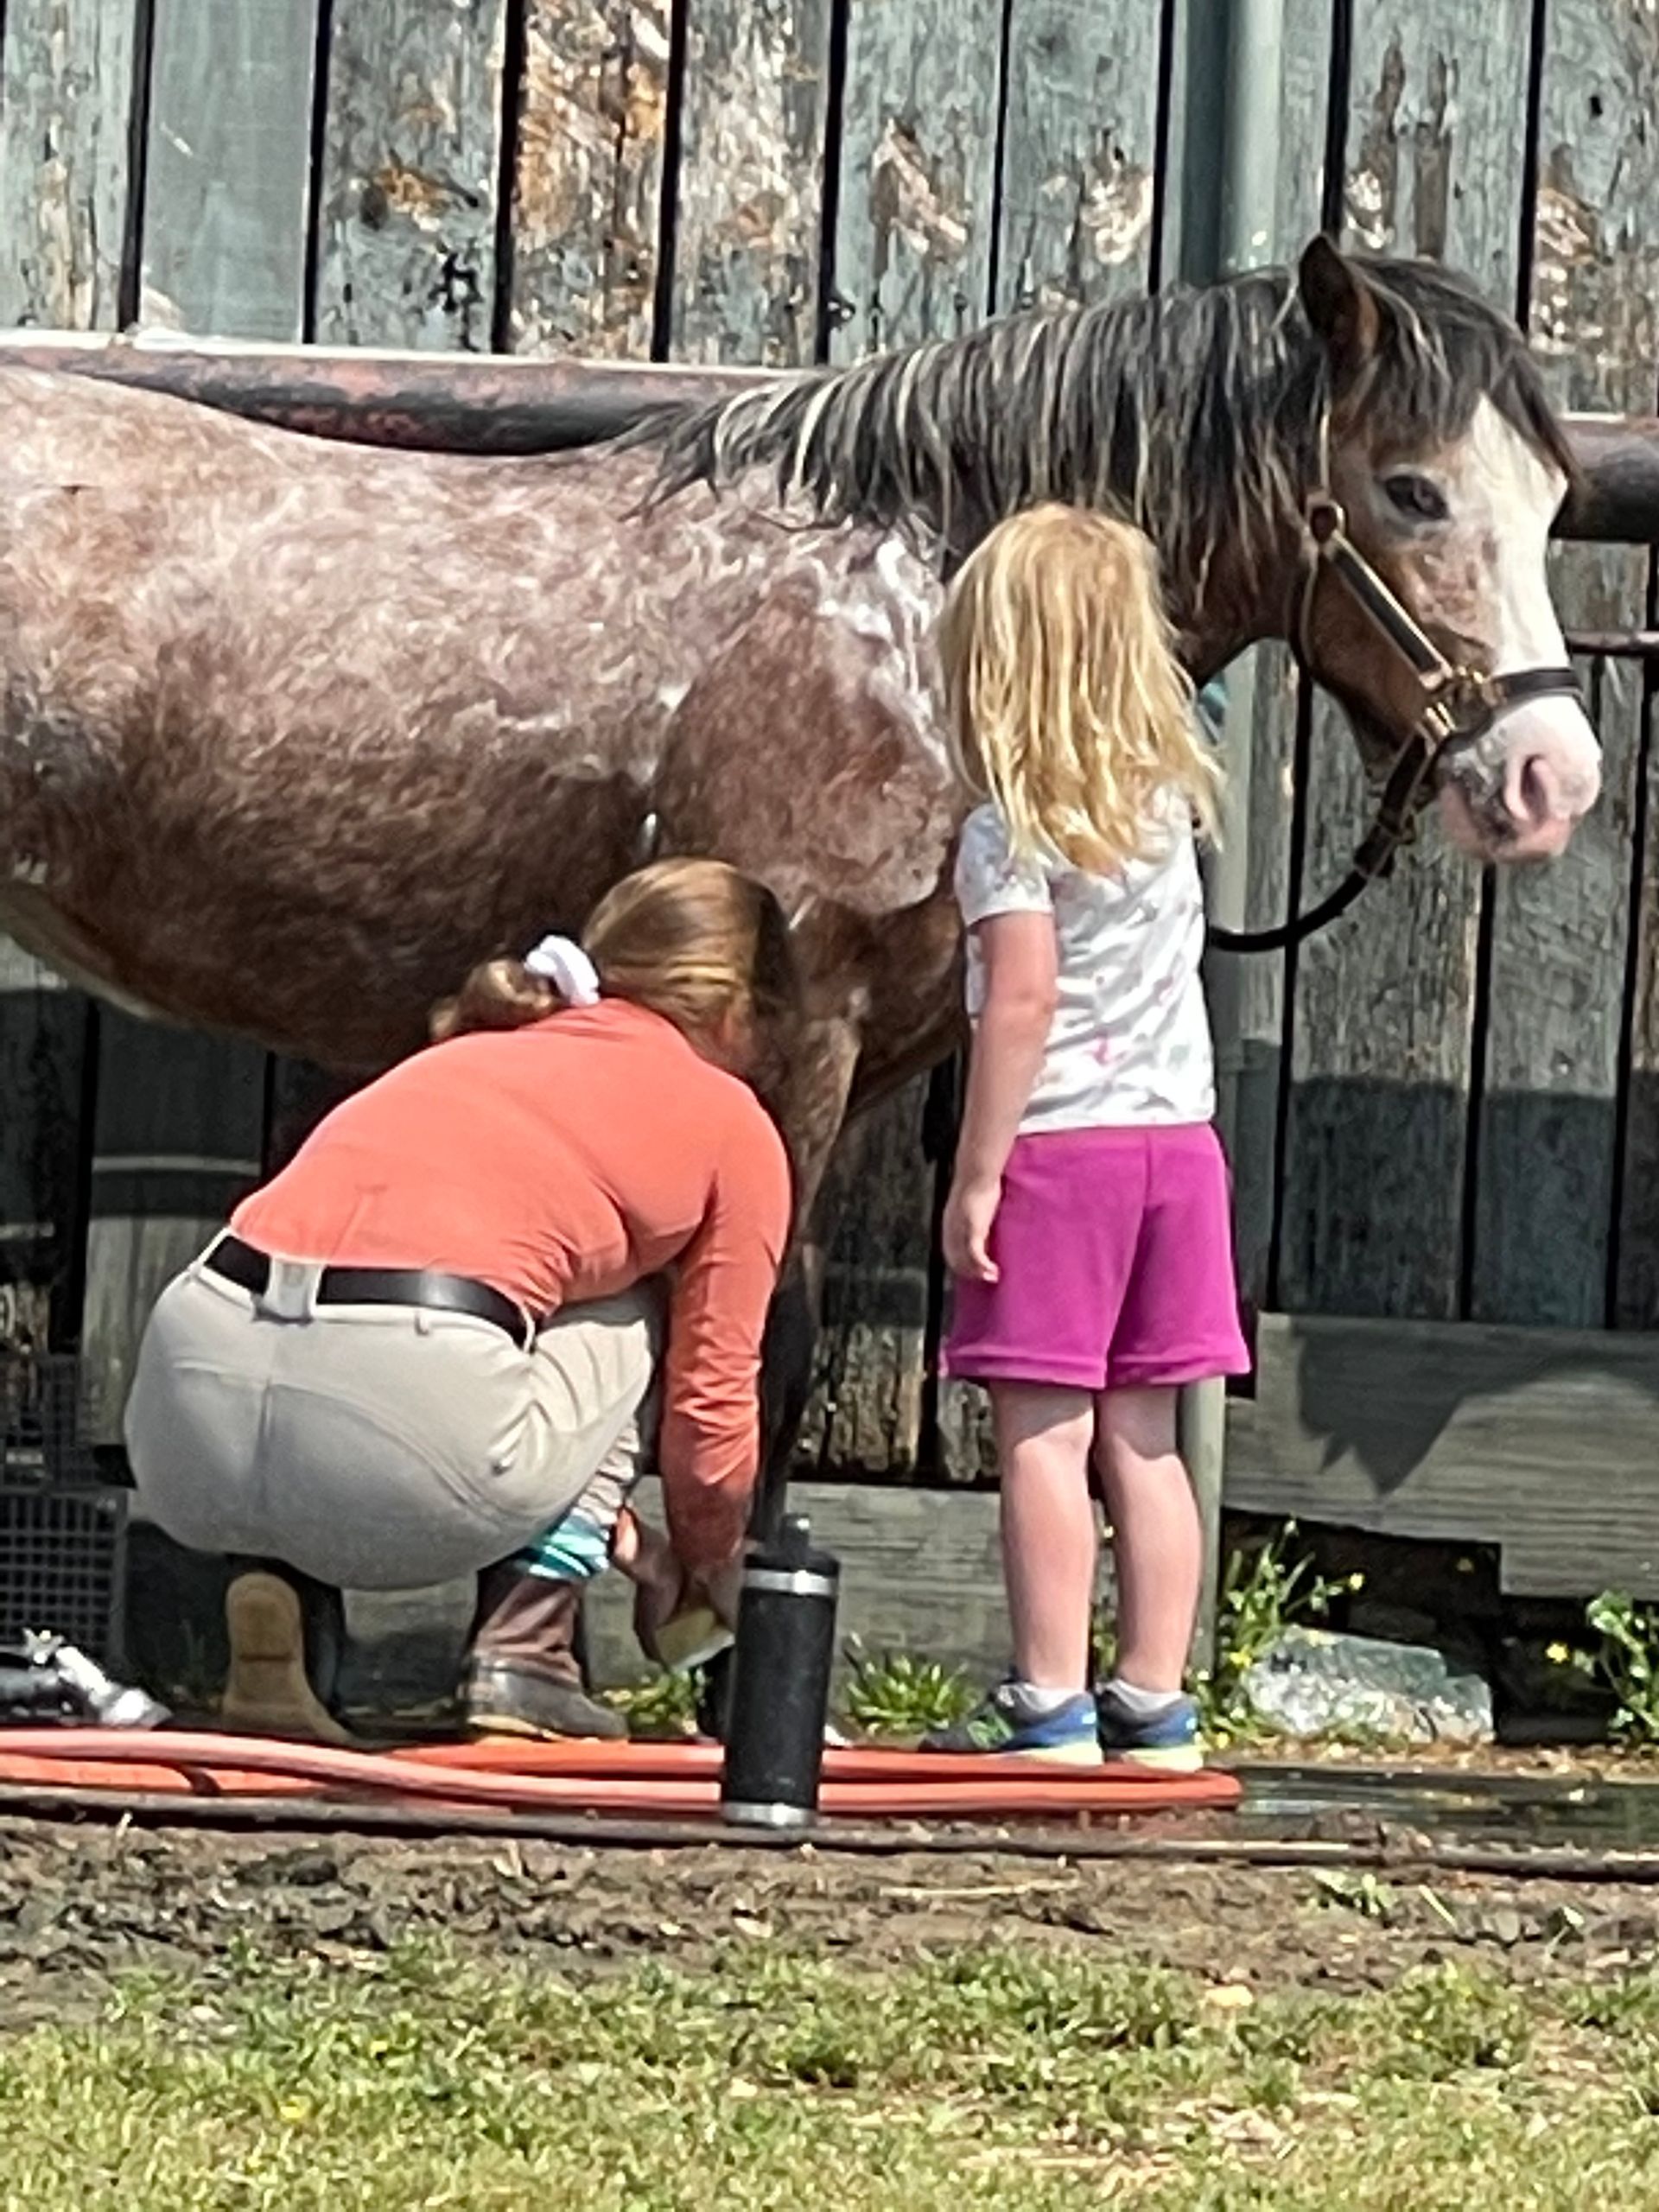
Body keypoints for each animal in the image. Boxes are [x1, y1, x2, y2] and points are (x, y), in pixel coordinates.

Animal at [0, 238, 1603, 1427]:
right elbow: (741, 1344)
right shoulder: (794, 1029)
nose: (1550, 777)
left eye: (1551, 500)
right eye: (1412, 488)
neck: (908, 612)